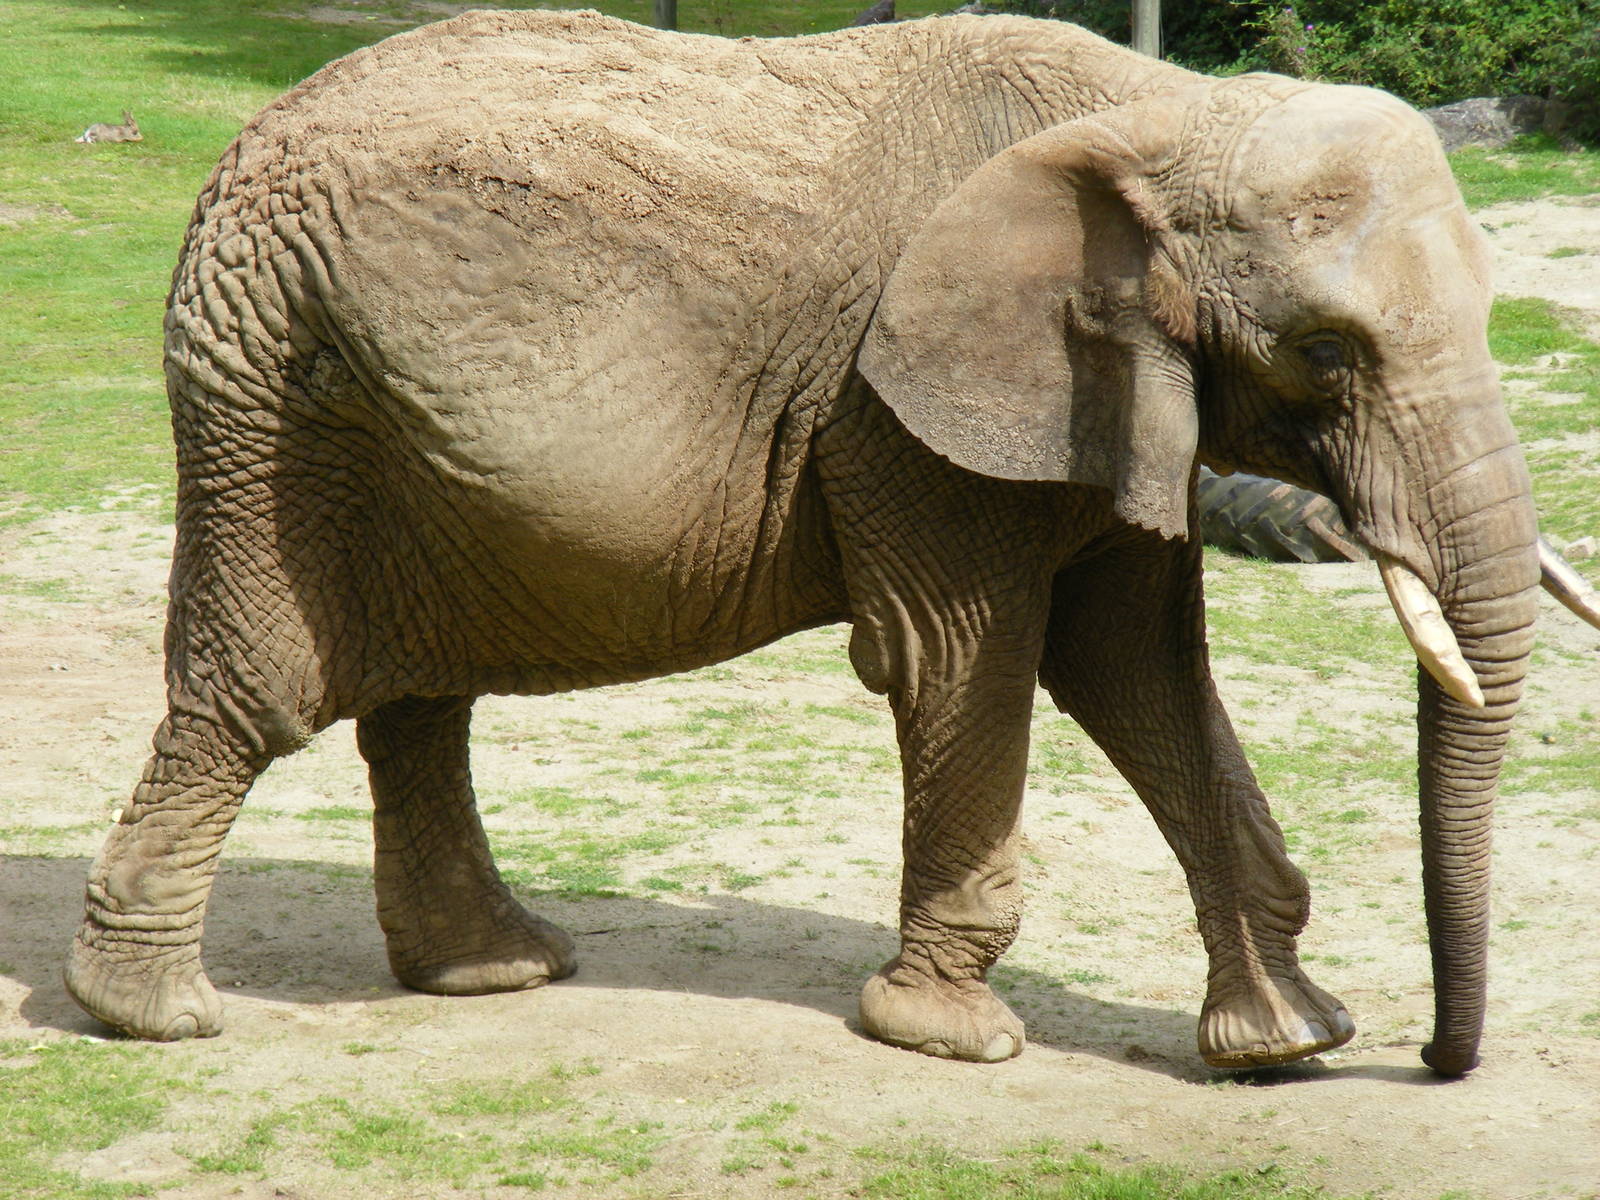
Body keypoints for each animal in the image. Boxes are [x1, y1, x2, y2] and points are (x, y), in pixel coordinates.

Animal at [64, 9, 1596, 1075]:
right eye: (1326, 353)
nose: (1436, 1057)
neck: (1166, 116)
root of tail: (231, 158)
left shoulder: (1107, 396)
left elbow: (1138, 670)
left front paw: (1288, 1042)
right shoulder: (902, 408)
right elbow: (968, 660)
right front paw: (956, 1038)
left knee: (420, 697)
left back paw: (491, 974)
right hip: (272, 399)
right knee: (261, 693)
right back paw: (153, 1015)